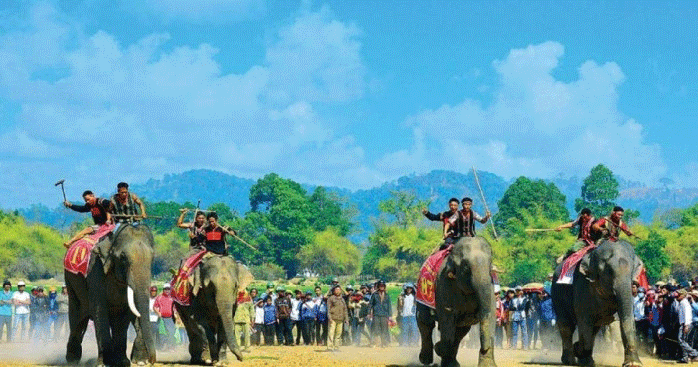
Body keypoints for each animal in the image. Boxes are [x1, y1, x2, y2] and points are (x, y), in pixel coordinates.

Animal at [64, 223, 156, 366]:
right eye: (123, 258)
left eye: (152, 258)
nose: (152, 360)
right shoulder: (95, 270)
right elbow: (99, 310)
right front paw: (104, 363)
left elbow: (125, 315)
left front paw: (127, 362)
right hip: (70, 282)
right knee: (77, 318)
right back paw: (72, 360)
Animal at [416, 237, 498, 367]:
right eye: (466, 268)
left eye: (490, 265)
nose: (484, 348)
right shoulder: (444, 284)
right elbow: (447, 317)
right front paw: (441, 352)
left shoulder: (490, 286)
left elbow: (490, 315)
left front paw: (488, 365)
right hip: (422, 293)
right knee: (425, 322)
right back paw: (426, 359)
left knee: (461, 331)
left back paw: (448, 359)